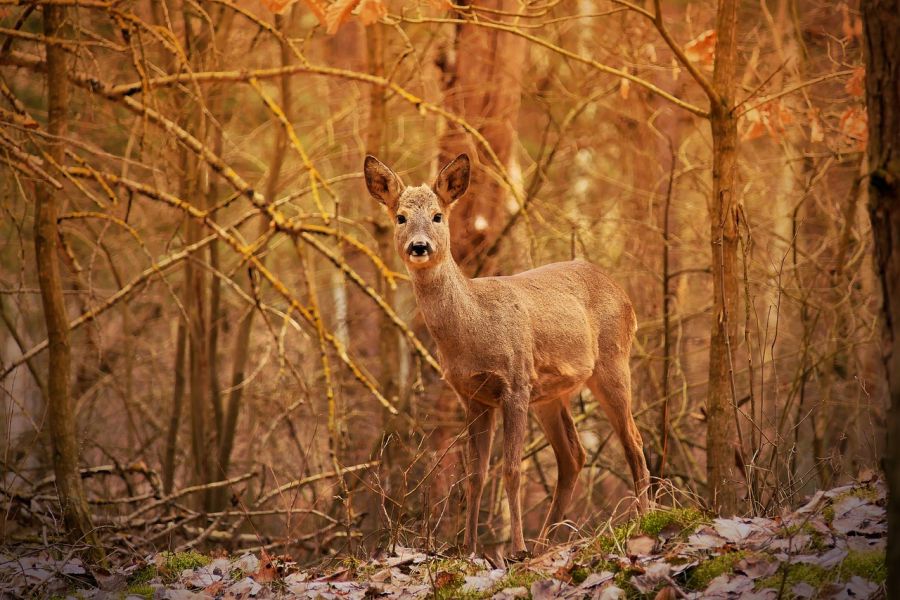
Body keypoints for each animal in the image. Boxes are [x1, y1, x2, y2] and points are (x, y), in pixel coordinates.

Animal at [362, 152, 652, 556]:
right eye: (400, 216)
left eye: (438, 215)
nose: (419, 247)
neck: (475, 328)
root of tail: (623, 295)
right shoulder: (473, 396)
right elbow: (474, 475)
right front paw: (467, 549)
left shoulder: (514, 383)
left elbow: (511, 470)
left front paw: (514, 549)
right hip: (549, 393)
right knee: (573, 456)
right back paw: (546, 541)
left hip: (611, 362)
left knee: (633, 441)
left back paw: (642, 520)